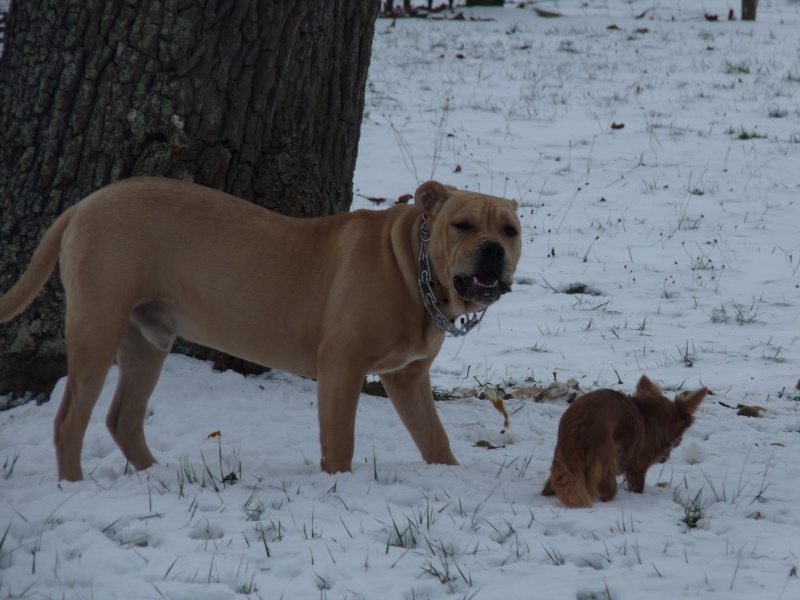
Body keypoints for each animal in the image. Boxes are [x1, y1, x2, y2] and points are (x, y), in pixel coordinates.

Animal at [0, 176, 520, 480]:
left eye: (511, 230)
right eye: (462, 225)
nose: (493, 248)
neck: (414, 265)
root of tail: (83, 205)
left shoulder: (408, 378)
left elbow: (434, 437)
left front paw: (449, 477)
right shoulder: (343, 363)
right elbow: (340, 439)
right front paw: (340, 484)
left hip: (146, 340)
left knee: (122, 417)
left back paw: (156, 476)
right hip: (97, 326)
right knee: (71, 419)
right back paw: (73, 484)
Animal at [544, 376, 708, 506]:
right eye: (679, 436)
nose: (677, 443)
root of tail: (580, 421)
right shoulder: (637, 468)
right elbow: (638, 487)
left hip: (562, 462)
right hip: (606, 469)